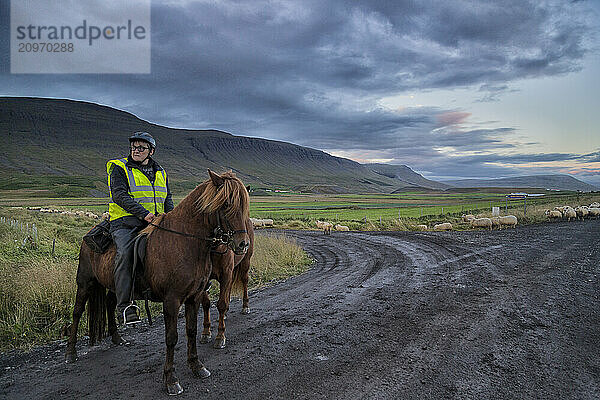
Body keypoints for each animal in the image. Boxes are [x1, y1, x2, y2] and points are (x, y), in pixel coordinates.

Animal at [200, 220, 254, 348]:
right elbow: (205, 304)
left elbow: (221, 304)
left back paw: (245, 306)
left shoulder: (226, 274)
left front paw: (220, 337)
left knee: (244, 281)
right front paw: (206, 333)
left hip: (245, 262)